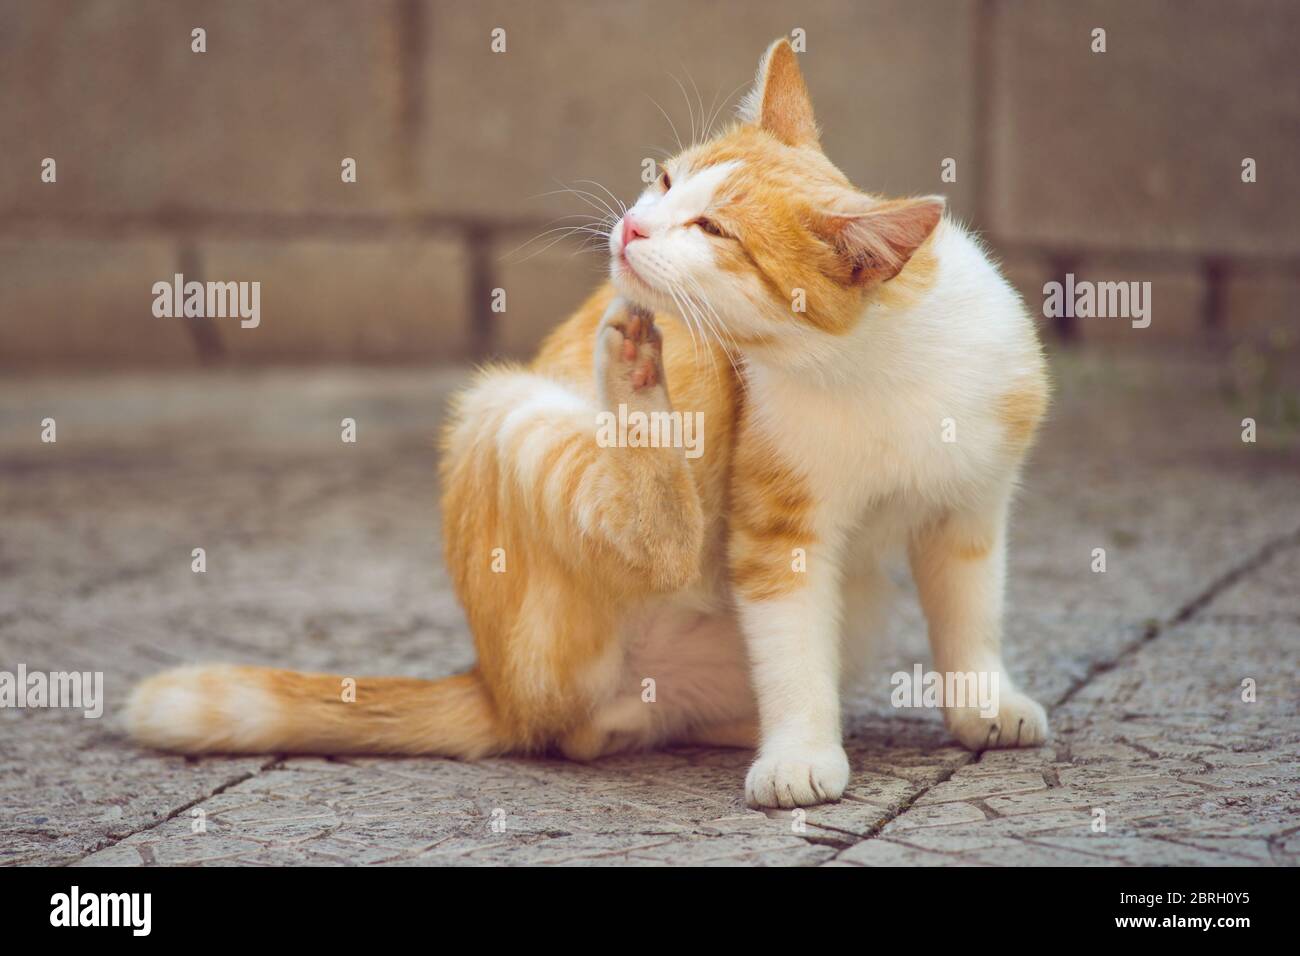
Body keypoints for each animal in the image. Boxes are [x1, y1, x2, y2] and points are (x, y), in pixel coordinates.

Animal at [129, 41, 1045, 811]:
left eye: (716, 229)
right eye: (667, 182)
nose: (634, 226)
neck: (875, 360)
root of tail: (492, 682)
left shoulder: (973, 508)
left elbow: (971, 610)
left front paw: (983, 703)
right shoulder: (776, 532)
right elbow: (790, 650)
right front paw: (800, 755)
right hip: (504, 421)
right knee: (648, 566)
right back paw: (635, 383)